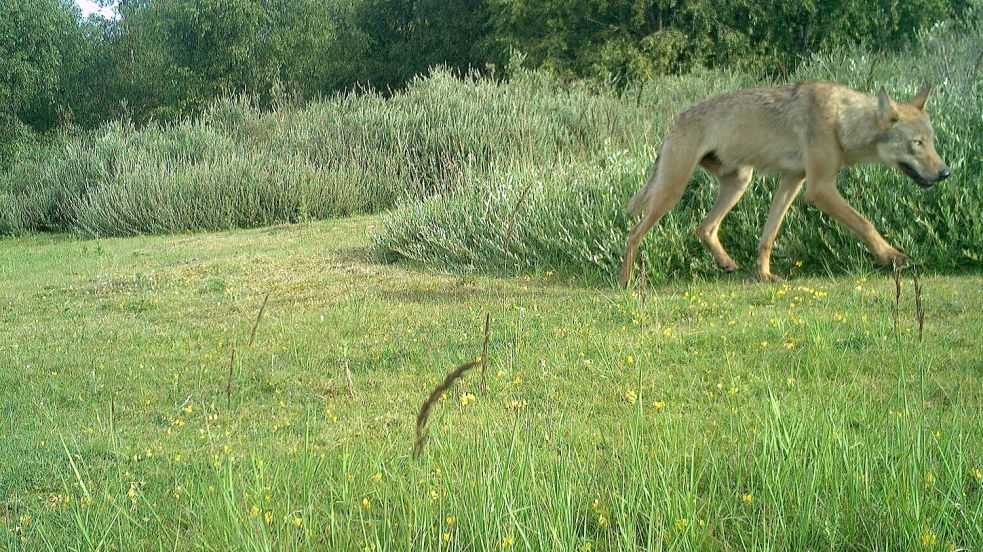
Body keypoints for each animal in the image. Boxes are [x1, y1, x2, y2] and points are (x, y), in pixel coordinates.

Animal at [624, 82, 952, 288]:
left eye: (932, 142)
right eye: (916, 143)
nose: (945, 172)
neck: (841, 120)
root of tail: (675, 121)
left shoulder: (792, 180)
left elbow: (768, 236)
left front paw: (764, 276)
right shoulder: (819, 188)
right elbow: (865, 224)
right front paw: (892, 257)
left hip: (740, 181)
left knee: (703, 227)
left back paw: (727, 263)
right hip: (672, 191)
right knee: (634, 233)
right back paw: (625, 282)